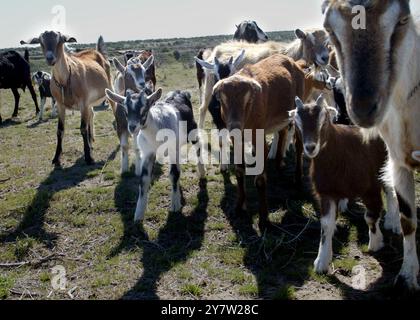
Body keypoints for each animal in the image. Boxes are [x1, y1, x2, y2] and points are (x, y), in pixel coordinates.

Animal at [21, 31, 115, 166]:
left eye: (61, 40)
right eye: (41, 41)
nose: (50, 58)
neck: (64, 82)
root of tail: (98, 52)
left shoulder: (83, 103)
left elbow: (83, 128)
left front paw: (89, 157)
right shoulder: (61, 104)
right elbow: (60, 130)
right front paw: (56, 158)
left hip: (109, 89)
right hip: (90, 102)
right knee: (91, 114)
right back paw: (91, 140)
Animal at [106, 87, 206, 222]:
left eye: (144, 109)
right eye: (126, 111)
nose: (132, 127)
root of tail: (180, 92)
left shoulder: (173, 149)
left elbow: (174, 174)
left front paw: (175, 205)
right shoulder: (148, 153)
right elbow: (144, 180)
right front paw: (138, 214)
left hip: (192, 130)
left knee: (198, 146)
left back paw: (202, 172)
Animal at [213, 54, 306, 230]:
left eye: (248, 100)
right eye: (222, 99)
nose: (234, 126)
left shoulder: (259, 135)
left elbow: (260, 179)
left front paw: (264, 220)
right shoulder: (237, 139)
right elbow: (239, 171)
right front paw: (238, 207)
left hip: (299, 107)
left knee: (298, 144)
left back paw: (297, 179)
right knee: (282, 132)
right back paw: (279, 164)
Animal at [288, 96, 400, 274]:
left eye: (324, 120)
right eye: (297, 122)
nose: (310, 147)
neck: (340, 151)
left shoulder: (370, 188)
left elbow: (371, 216)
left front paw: (376, 243)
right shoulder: (326, 192)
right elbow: (326, 224)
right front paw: (321, 261)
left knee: (391, 190)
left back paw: (393, 221)